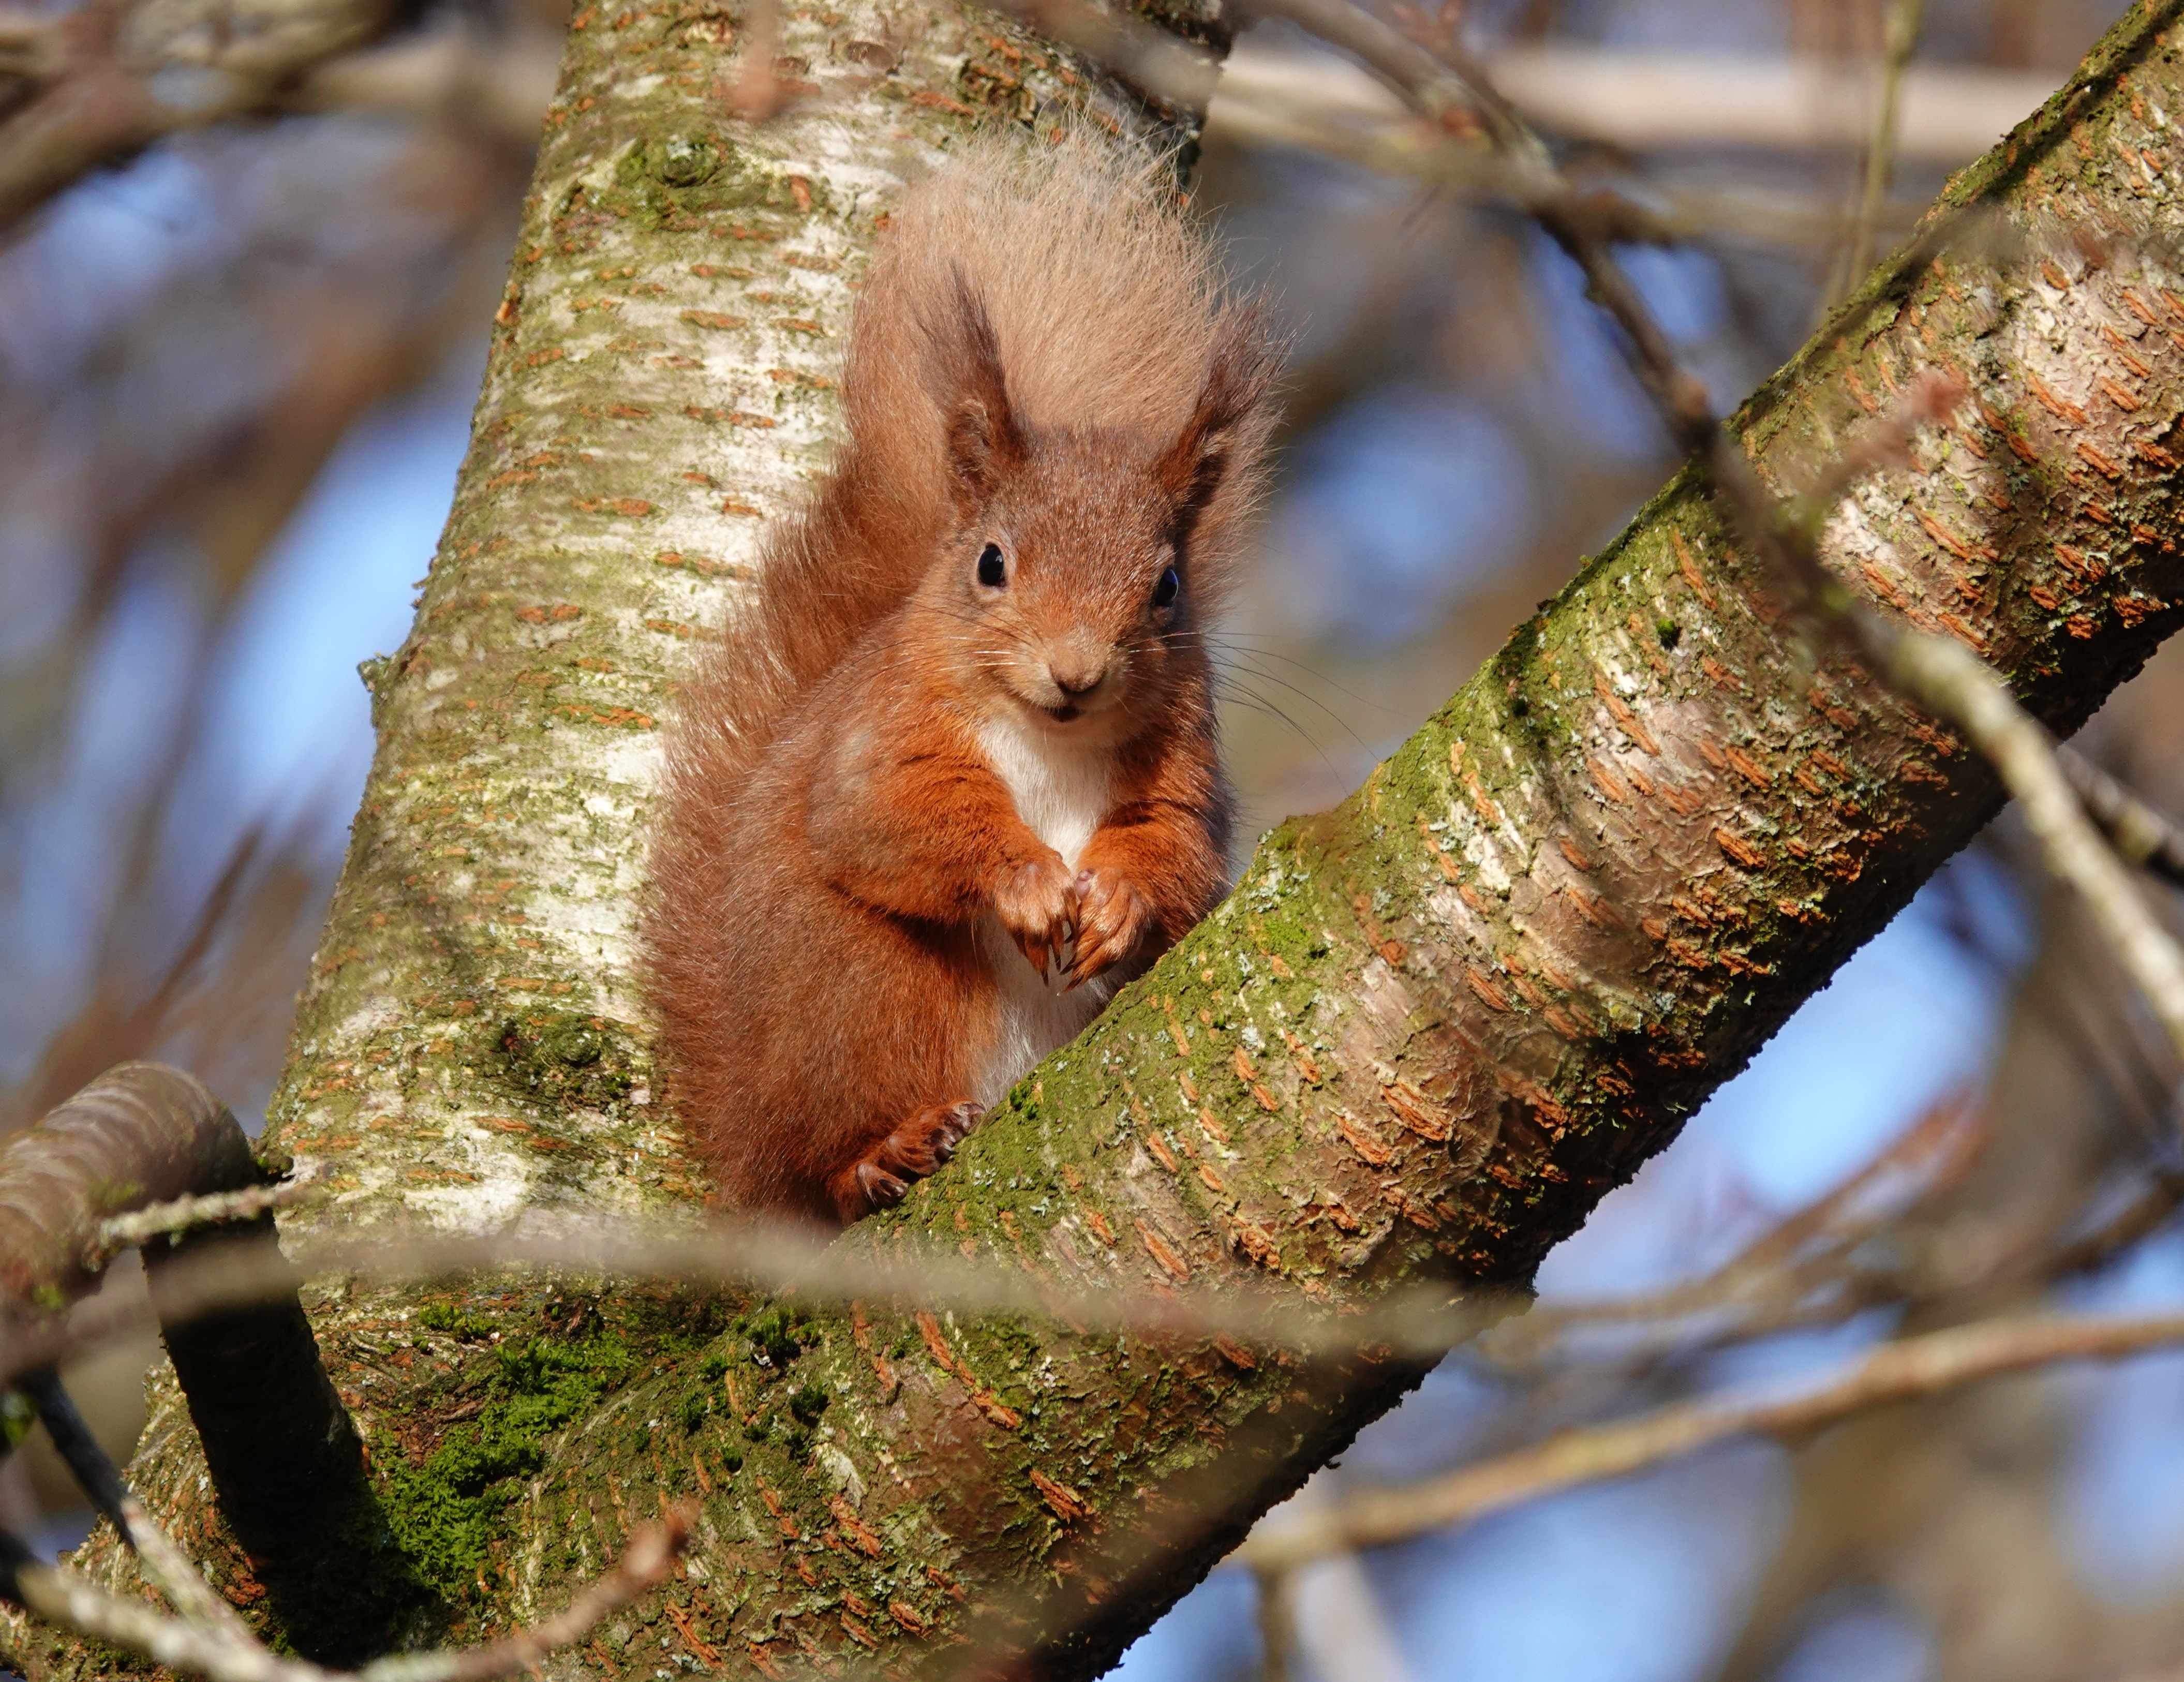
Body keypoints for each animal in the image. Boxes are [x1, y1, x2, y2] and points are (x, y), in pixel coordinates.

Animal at [637, 137, 1275, 1223]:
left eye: (1167, 587)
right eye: (990, 563)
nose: (1076, 671)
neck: (1053, 737)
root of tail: (747, 1145)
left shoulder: (1185, 766)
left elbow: (1180, 855)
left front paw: (1118, 903)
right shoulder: (882, 725)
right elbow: (885, 811)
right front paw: (1027, 880)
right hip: (870, 995)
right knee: (831, 1159)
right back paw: (881, 1155)